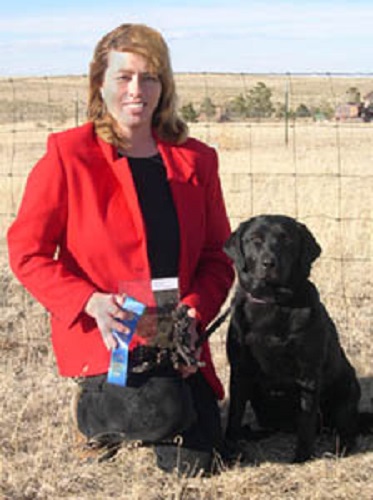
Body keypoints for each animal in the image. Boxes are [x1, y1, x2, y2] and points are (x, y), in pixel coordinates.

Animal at [222, 213, 362, 462]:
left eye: (286, 239)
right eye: (255, 240)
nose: (269, 263)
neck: (272, 302)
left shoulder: (308, 372)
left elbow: (306, 418)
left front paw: (302, 456)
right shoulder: (240, 371)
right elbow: (235, 413)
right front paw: (230, 447)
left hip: (346, 389)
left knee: (346, 428)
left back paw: (341, 447)